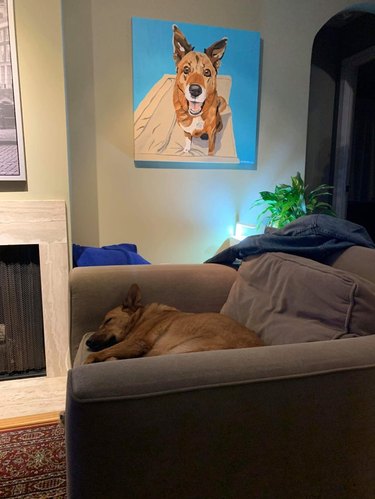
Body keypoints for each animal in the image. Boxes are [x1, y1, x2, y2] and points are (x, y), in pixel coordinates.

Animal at [84, 284, 262, 362]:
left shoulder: (136, 343)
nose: (87, 342)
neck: (140, 318)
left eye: (108, 320)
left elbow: (95, 355)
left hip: (172, 351)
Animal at [173, 23, 229, 155]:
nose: (195, 90)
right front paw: (187, 150)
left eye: (207, 72)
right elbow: (188, 139)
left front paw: (210, 156)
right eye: (186, 69)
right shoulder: (186, 131)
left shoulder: (212, 133)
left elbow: (211, 148)